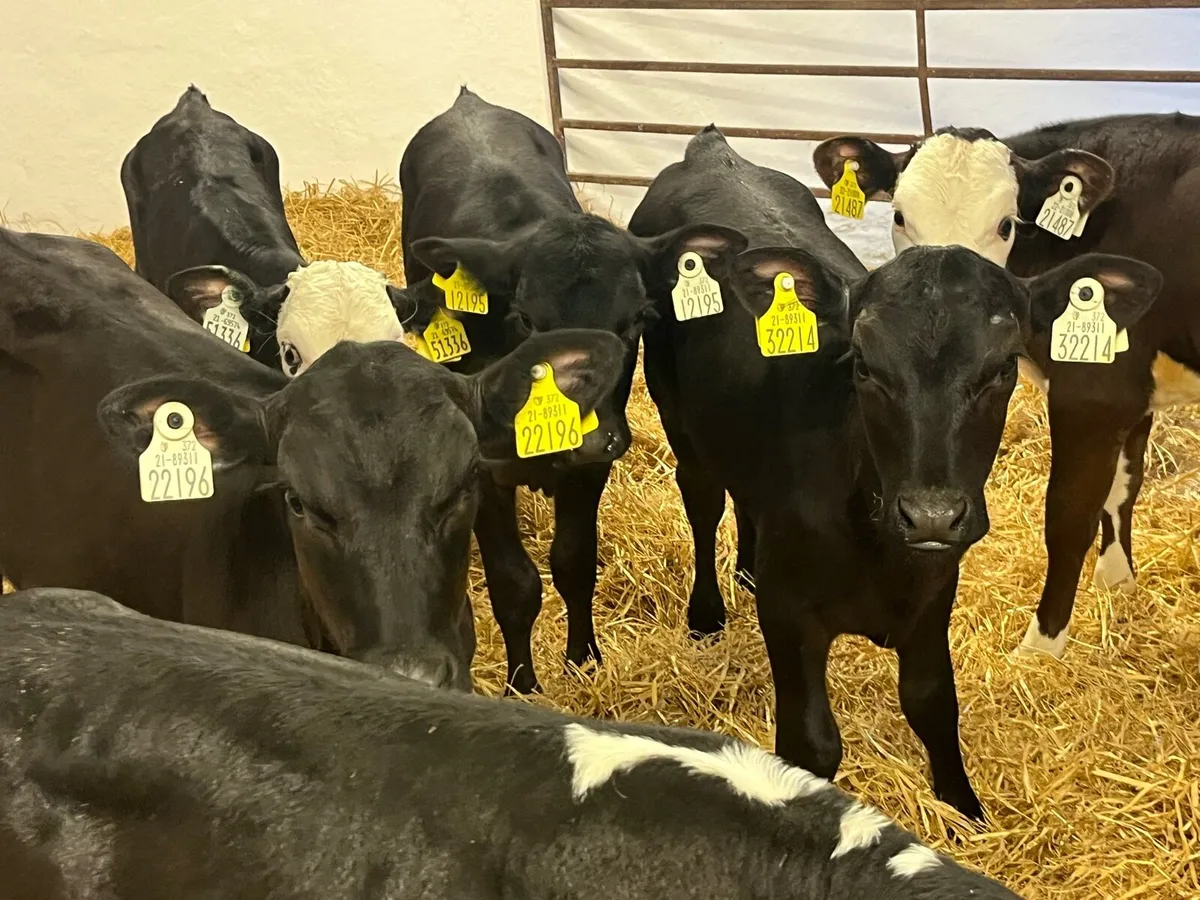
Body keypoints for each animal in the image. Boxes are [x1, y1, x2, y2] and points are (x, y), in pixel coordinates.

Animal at [396, 87, 729, 693]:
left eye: (637, 318)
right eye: (526, 319)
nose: (590, 438)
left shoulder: (590, 468)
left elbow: (574, 562)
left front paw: (583, 660)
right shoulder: (483, 470)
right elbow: (514, 583)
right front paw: (522, 683)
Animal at [813, 114, 1188, 657]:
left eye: (1006, 224)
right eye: (900, 217)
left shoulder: (1095, 390)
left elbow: (1069, 516)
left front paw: (1041, 648)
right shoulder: (1135, 390)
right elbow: (1124, 484)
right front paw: (1117, 582)